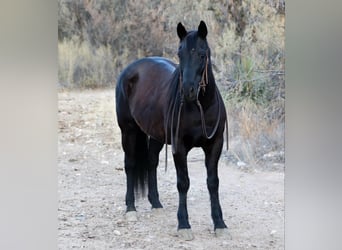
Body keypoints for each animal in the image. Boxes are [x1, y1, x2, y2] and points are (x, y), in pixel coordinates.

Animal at [116, 20, 228, 239]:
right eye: (180, 54)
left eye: (202, 54)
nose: (188, 90)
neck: (200, 107)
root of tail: (130, 70)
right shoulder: (179, 146)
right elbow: (183, 182)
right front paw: (184, 224)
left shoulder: (215, 145)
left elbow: (213, 182)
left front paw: (219, 223)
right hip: (128, 131)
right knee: (130, 165)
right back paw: (131, 208)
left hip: (155, 135)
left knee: (151, 163)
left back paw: (156, 204)